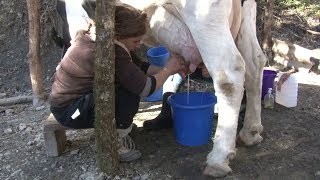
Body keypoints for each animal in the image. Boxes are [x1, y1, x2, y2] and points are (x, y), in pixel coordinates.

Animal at [121, 0, 266, 177]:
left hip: (204, 16)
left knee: (230, 73)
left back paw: (218, 158)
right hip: (245, 16)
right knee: (255, 61)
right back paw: (251, 132)